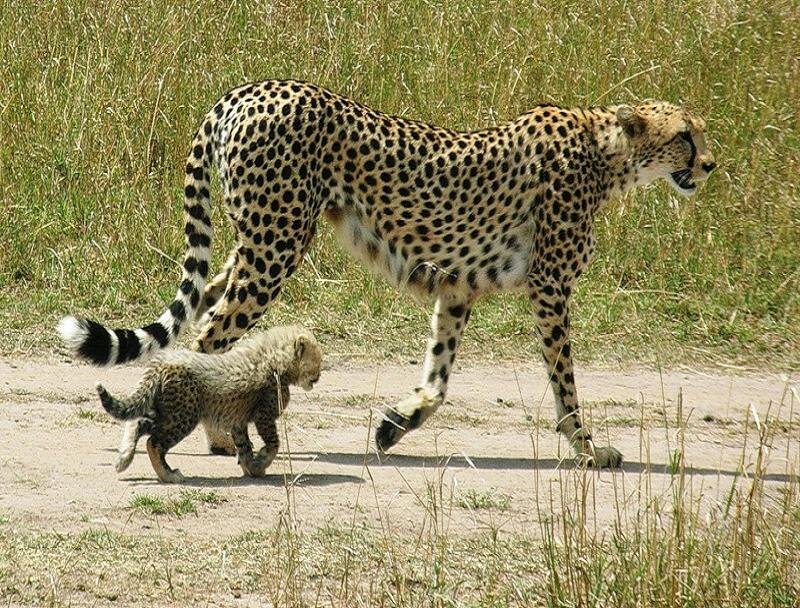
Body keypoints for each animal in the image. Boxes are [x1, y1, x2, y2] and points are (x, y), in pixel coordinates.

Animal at [94, 324, 321, 483]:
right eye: (317, 360)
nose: (319, 376)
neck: (275, 358)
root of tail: (163, 361)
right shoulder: (263, 416)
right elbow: (274, 444)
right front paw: (261, 461)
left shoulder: (238, 421)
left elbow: (244, 447)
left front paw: (252, 467)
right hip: (183, 416)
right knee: (154, 442)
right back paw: (168, 475)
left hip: (166, 410)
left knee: (137, 422)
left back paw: (124, 458)